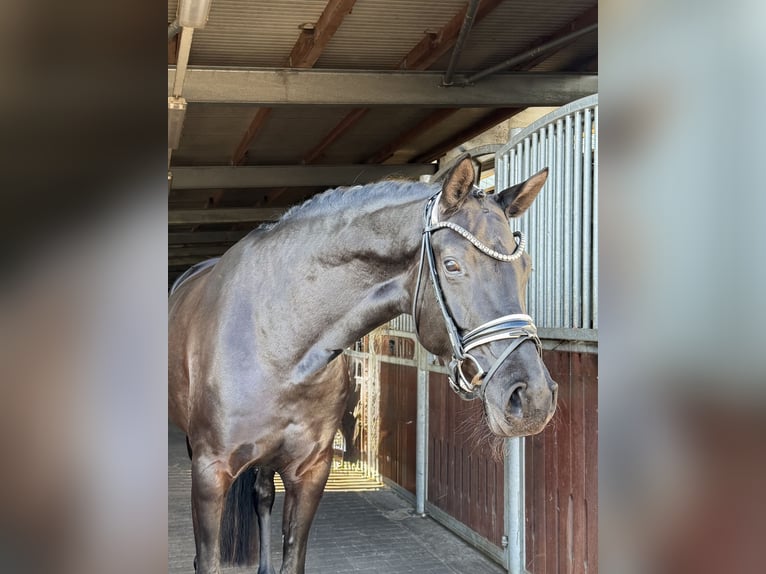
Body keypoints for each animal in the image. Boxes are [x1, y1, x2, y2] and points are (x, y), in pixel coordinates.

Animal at [168, 154, 558, 574]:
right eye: (452, 265)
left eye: (526, 267)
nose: (533, 397)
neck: (274, 338)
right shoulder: (210, 474)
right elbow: (207, 559)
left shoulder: (310, 472)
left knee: (262, 496)